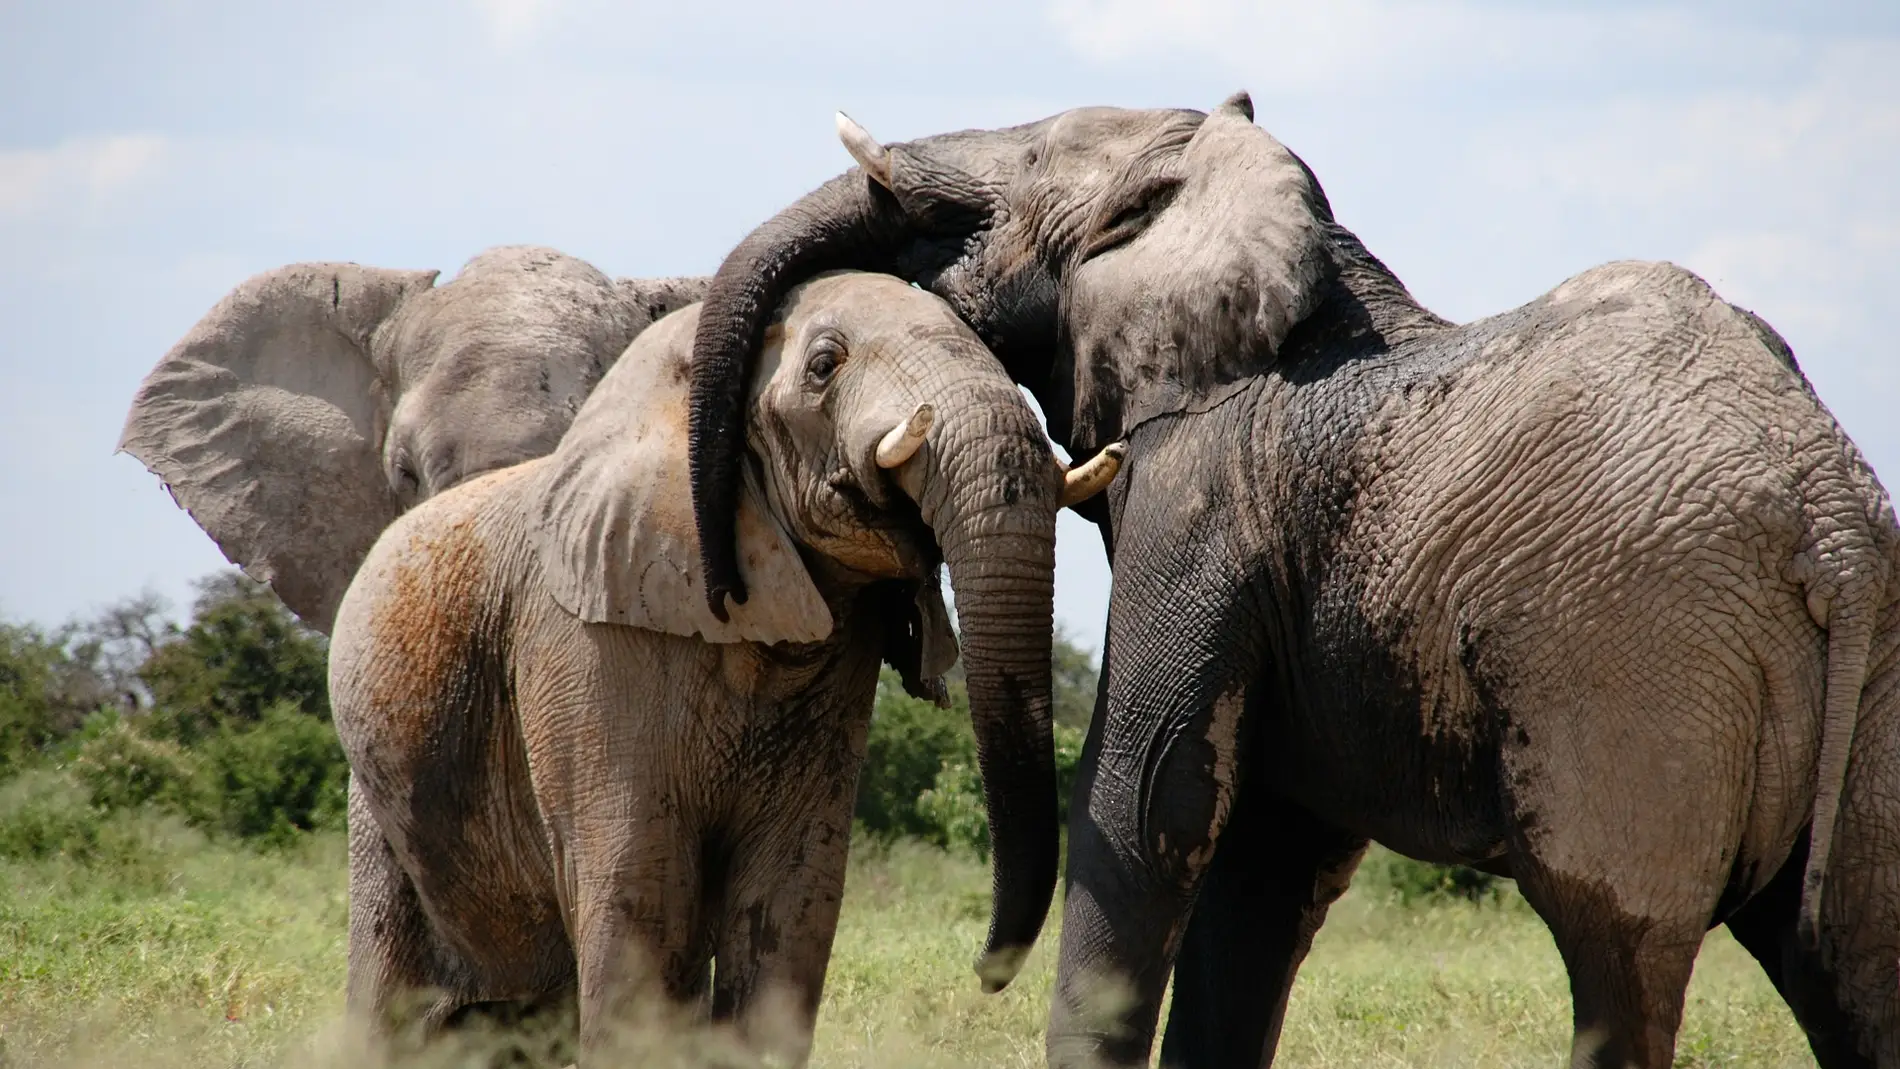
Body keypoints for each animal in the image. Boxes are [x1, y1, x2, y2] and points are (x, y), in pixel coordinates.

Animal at [328, 271, 1124, 1063]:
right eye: (824, 365)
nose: (985, 973)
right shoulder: (584, 644)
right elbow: (640, 894)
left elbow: (791, 900)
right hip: (378, 791)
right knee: (391, 987)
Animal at [680, 93, 1900, 1069]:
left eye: (1021, 167)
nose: (726, 589)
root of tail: (1828, 517)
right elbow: (1262, 862)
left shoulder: (1202, 494)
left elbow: (1146, 802)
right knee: (1849, 964)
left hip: (1635, 663)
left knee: (1617, 958)